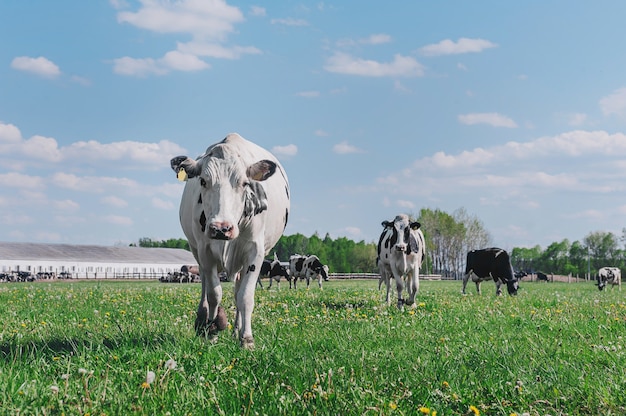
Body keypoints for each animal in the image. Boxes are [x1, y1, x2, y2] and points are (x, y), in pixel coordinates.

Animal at [169, 133, 288, 348]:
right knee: (205, 285)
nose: (221, 228)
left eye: (244, 183)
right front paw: (212, 330)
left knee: (238, 291)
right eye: (203, 181)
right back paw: (204, 320)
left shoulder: (255, 253)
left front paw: (246, 338)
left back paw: (236, 331)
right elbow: (214, 294)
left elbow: (245, 297)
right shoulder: (205, 251)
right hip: (197, 251)